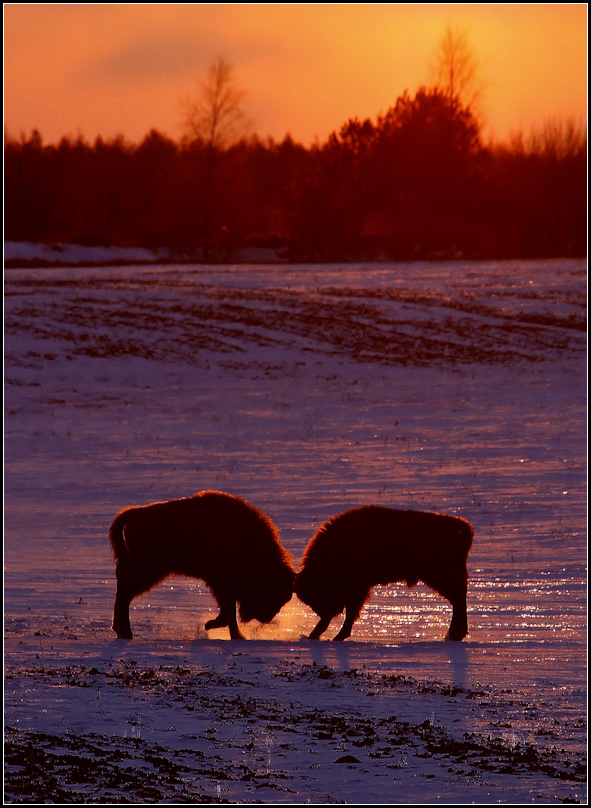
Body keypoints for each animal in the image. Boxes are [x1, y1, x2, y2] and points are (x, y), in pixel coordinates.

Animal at [108, 490, 294, 640]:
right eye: (271, 592)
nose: (266, 618)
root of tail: (134, 514)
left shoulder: (226, 586)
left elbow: (230, 612)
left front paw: (236, 635)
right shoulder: (220, 584)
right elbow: (228, 612)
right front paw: (212, 625)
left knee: (122, 590)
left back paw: (119, 630)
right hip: (148, 570)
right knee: (125, 593)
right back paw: (126, 633)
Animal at [296, 504, 476, 644]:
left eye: (318, 592)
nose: (328, 613)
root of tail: (456, 525)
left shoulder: (358, 589)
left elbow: (351, 612)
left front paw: (335, 636)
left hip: (437, 575)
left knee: (457, 595)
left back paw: (454, 634)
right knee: (458, 595)